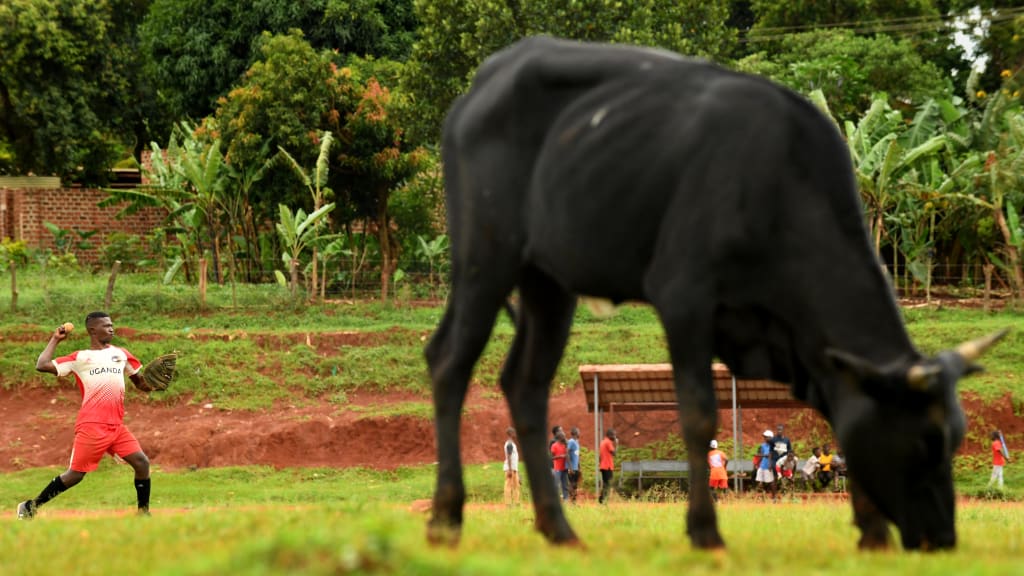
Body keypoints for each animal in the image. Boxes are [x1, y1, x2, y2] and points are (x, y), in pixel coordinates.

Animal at [421, 34, 999, 545]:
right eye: (924, 442)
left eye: (956, 437)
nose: (942, 538)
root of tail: (483, 83)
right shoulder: (685, 297)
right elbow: (699, 417)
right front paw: (705, 533)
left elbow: (843, 416)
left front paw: (872, 533)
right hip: (485, 257)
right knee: (449, 360)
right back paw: (447, 518)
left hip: (550, 282)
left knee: (526, 384)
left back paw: (559, 530)